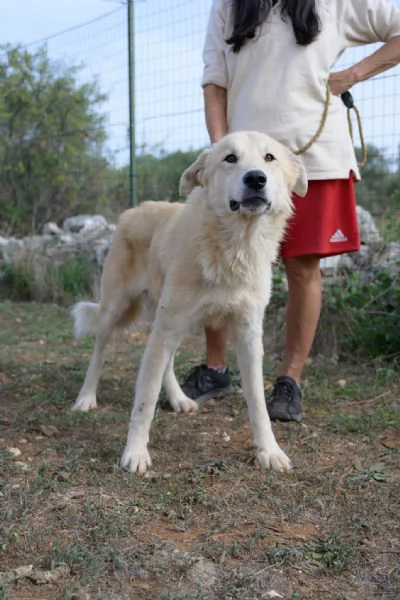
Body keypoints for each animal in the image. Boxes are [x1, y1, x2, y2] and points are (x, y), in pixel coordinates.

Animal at [71, 130, 306, 474]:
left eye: (269, 158)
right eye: (230, 158)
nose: (256, 179)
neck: (234, 246)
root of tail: (135, 209)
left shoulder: (248, 335)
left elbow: (258, 403)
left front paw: (269, 450)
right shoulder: (166, 327)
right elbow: (145, 400)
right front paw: (135, 453)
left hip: (170, 322)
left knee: (164, 362)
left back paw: (178, 398)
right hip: (117, 309)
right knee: (99, 353)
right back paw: (86, 398)